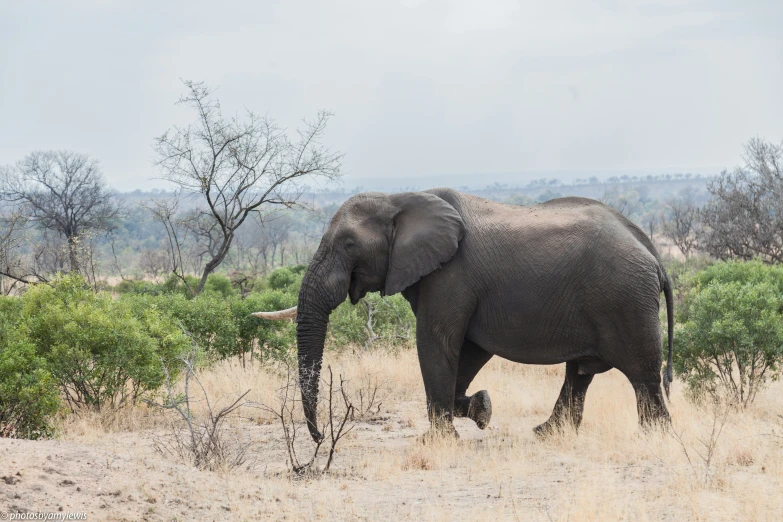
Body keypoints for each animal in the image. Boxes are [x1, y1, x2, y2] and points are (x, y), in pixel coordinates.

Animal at [258, 187, 672, 438]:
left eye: (347, 244)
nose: (319, 437)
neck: (399, 200)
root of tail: (652, 254)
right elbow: (469, 350)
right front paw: (482, 409)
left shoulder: (450, 276)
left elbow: (436, 342)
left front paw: (437, 441)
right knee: (581, 373)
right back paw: (545, 434)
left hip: (625, 299)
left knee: (642, 376)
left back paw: (654, 437)